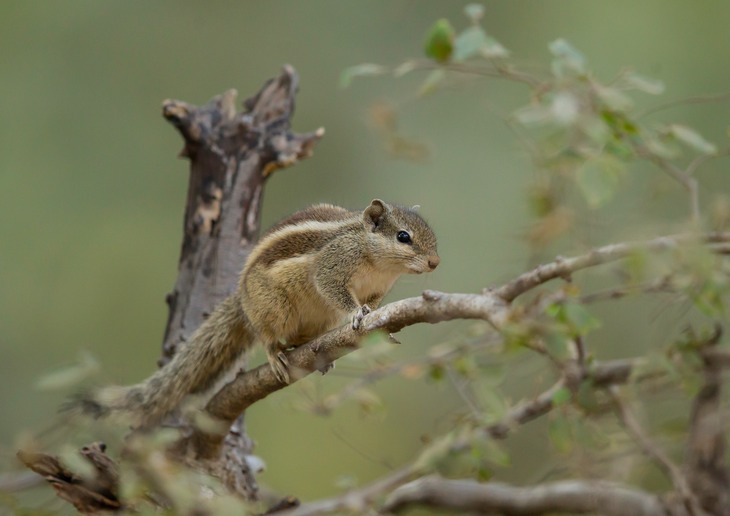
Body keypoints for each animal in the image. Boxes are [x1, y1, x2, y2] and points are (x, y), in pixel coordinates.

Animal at [74, 200, 438, 430]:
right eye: (403, 236)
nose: (435, 263)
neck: (374, 257)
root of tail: (242, 299)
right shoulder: (332, 266)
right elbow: (333, 288)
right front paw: (356, 313)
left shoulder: (379, 290)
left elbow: (375, 304)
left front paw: (372, 314)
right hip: (272, 309)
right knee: (266, 335)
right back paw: (276, 354)